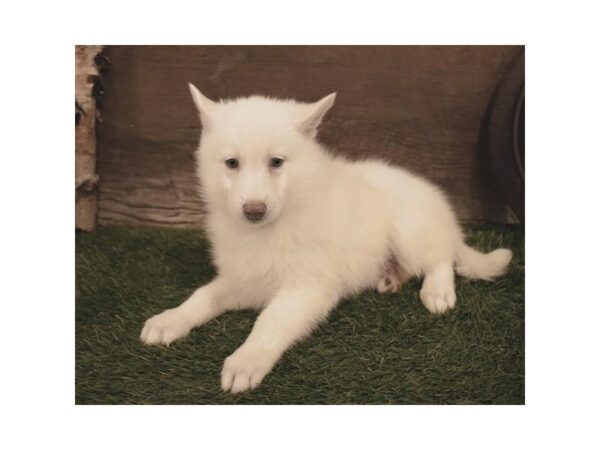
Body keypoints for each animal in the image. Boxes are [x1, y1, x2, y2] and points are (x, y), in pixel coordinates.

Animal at [141, 85, 510, 394]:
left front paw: (246, 359)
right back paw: (390, 276)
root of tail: (443, 212)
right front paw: (170, 319)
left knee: (440, 256)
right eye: (232, 163)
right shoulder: (243, 278)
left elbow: (269, 321)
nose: (254, 210)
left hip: (410, 227)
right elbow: (202, 296)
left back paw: (437, 290)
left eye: (276, 162)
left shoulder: (307, 288)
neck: (275, 224)